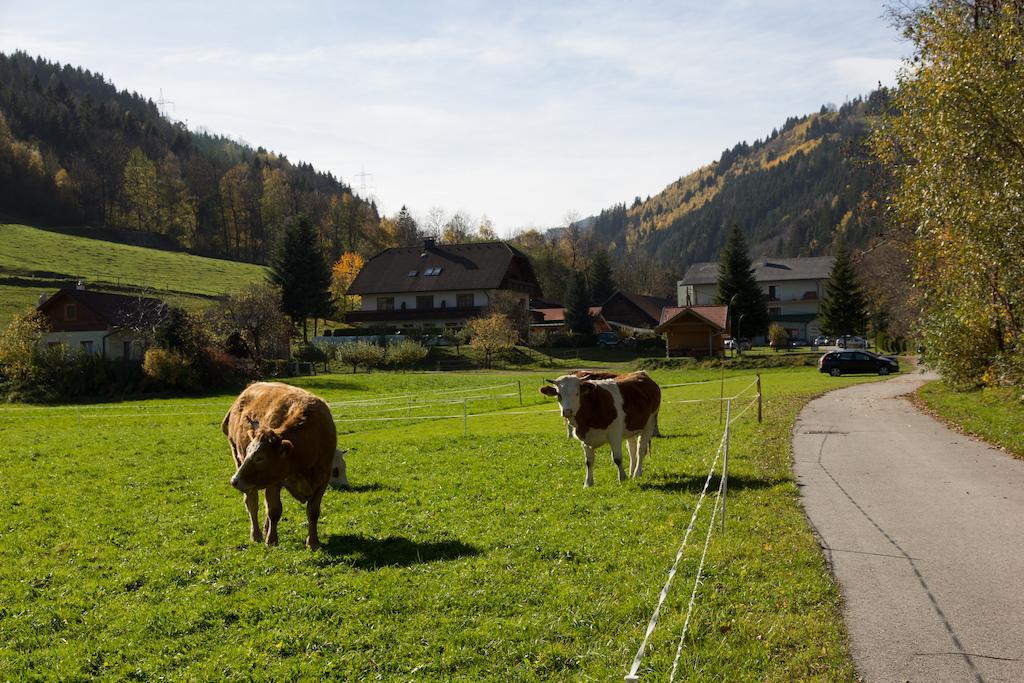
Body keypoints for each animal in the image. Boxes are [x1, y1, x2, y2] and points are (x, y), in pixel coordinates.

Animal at [222, 385, 337, 548]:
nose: (234, 480)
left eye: (260, 457)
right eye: (249, 451)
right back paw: (256, 534)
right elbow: (274, 510)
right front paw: (271, 540)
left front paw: (313, 542)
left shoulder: (323, 478)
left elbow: (313, 511)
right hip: (240, 464)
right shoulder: (274, 482)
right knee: (252, 503)